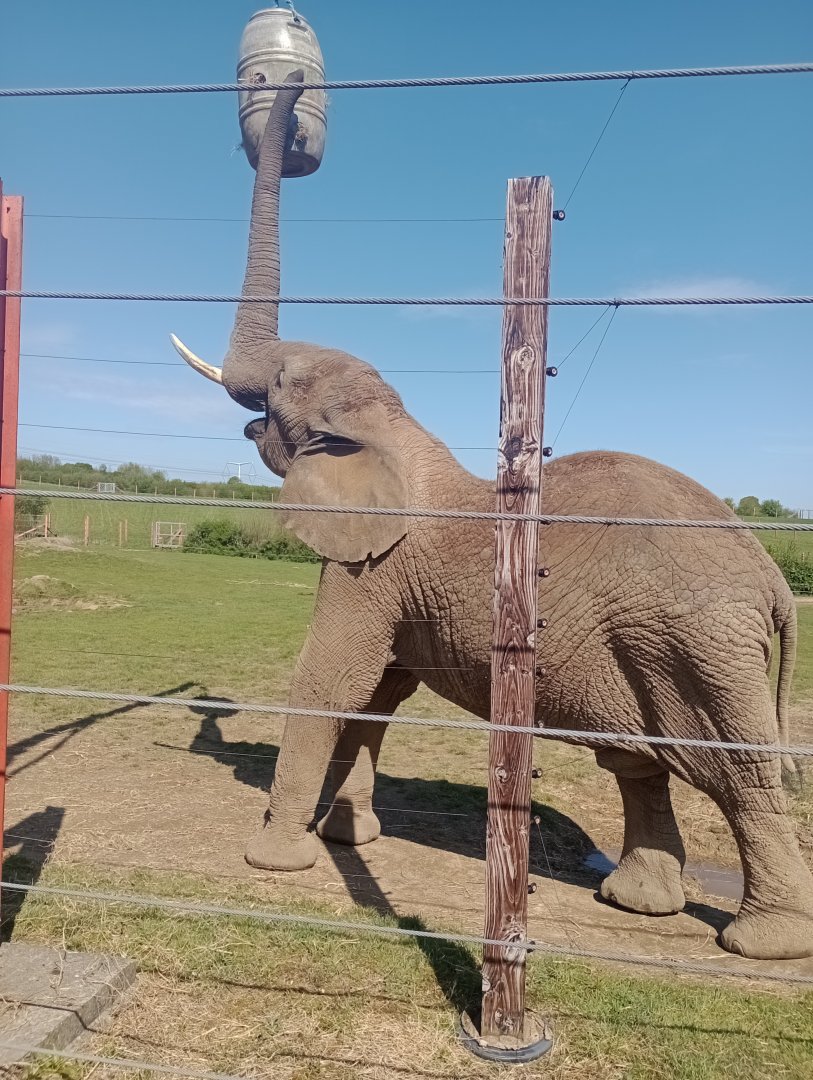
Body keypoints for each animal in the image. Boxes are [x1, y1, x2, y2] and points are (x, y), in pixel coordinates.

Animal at [170, 71, 813, 961]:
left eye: (280, 386)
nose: (289, 81)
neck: (397, 433)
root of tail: (772, 579)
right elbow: (377, 695)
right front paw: (347, 839)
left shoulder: (370, 571)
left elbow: (333, 681)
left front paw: (274, 858)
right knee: (640, 764)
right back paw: (637, 903)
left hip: (700, 644)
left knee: (739, 775)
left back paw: (760, 944)